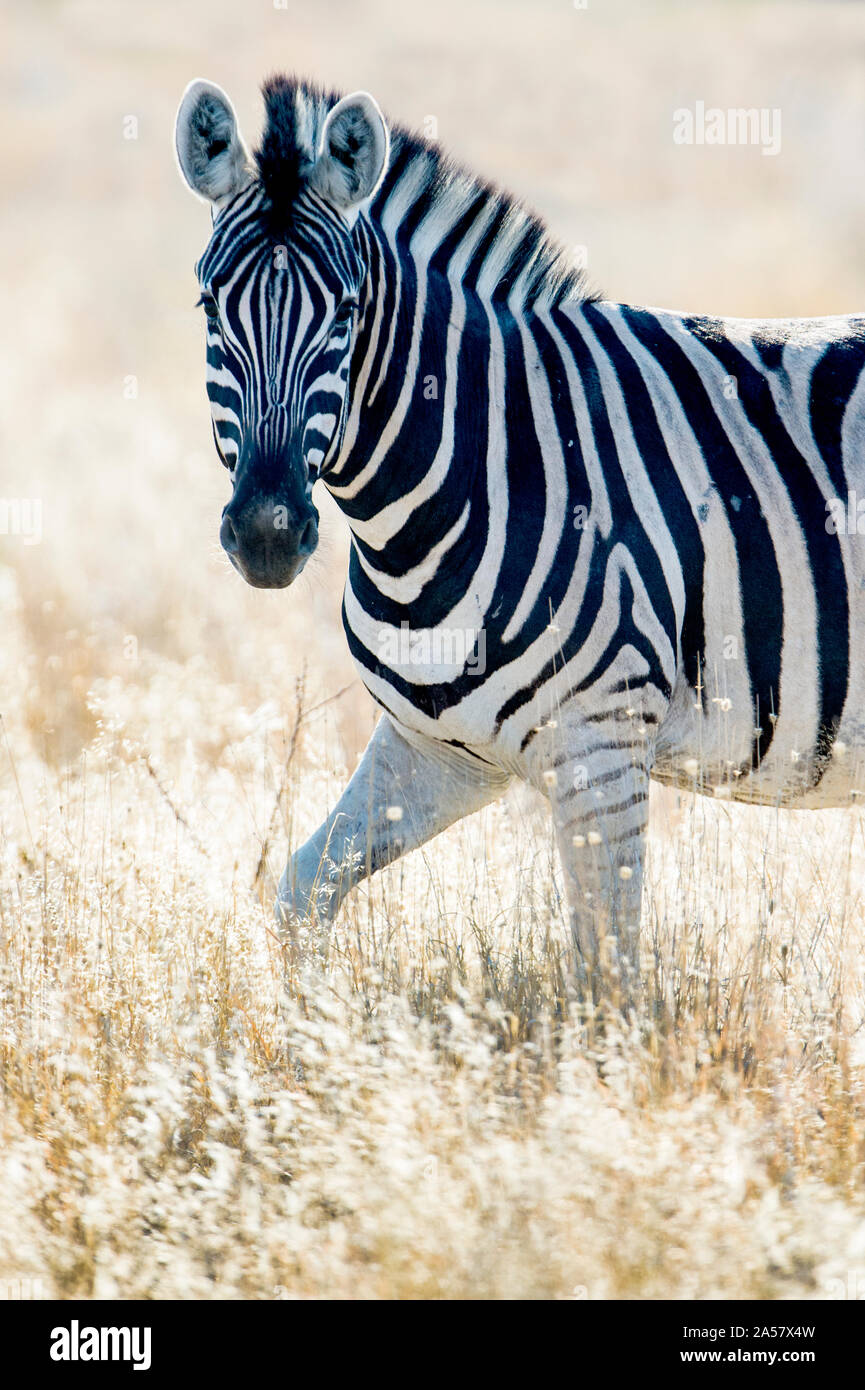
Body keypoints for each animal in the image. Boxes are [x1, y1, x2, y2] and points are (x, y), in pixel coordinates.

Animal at [174, 76, 865, 1006]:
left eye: (347, 314)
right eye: (210, 307)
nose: (267, 536)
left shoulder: (603, 745)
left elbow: (607, 975)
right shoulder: (437, 748)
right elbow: (301, 892)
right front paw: (305, 1031)